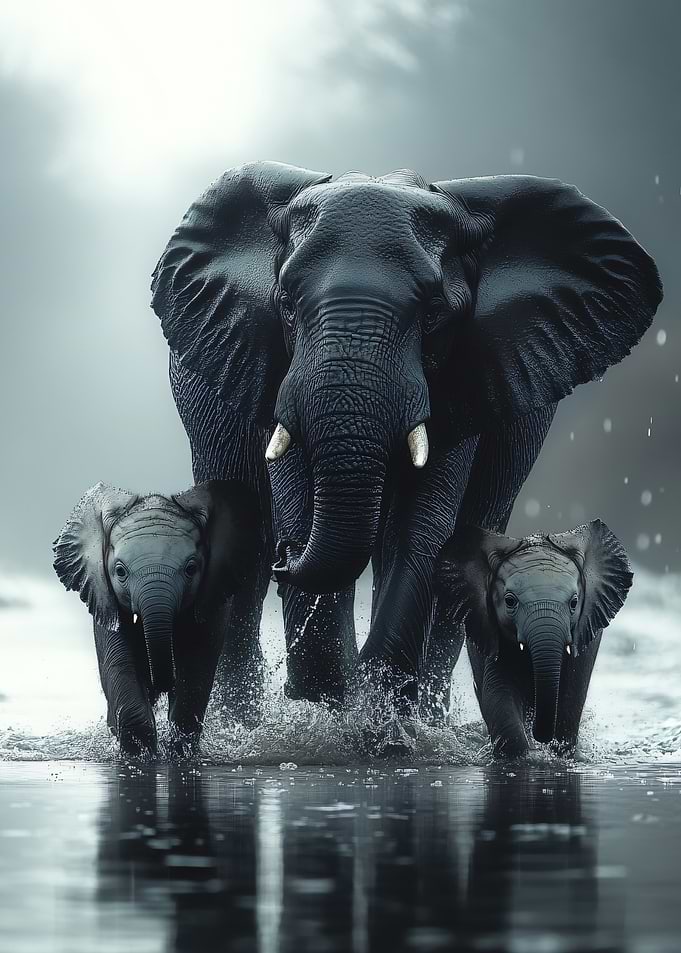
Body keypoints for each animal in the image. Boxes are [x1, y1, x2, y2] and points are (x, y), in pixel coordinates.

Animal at [53, 480, 260, 754]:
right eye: (120, 571)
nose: (163, 682)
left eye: (191, 568)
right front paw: (140, 754)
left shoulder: (212, 603)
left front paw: (179, 753)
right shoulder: (106, 599)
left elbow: (194, 672)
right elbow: (120, 663)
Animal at [150, 161, 660, 726]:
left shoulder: (466, 379)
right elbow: (299, 505)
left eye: (434, 311)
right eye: (285, 304)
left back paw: (425, 718)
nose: (289, 557)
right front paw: (330, 709)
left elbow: (422, 527)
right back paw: (240, 718)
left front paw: (378, 709)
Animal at [436, 519, 632, 756]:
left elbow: (571, 699)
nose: (540, 737)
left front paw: (557, 752)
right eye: (510, 601)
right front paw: (525, 755)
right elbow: (498, 694)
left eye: (574, 603)